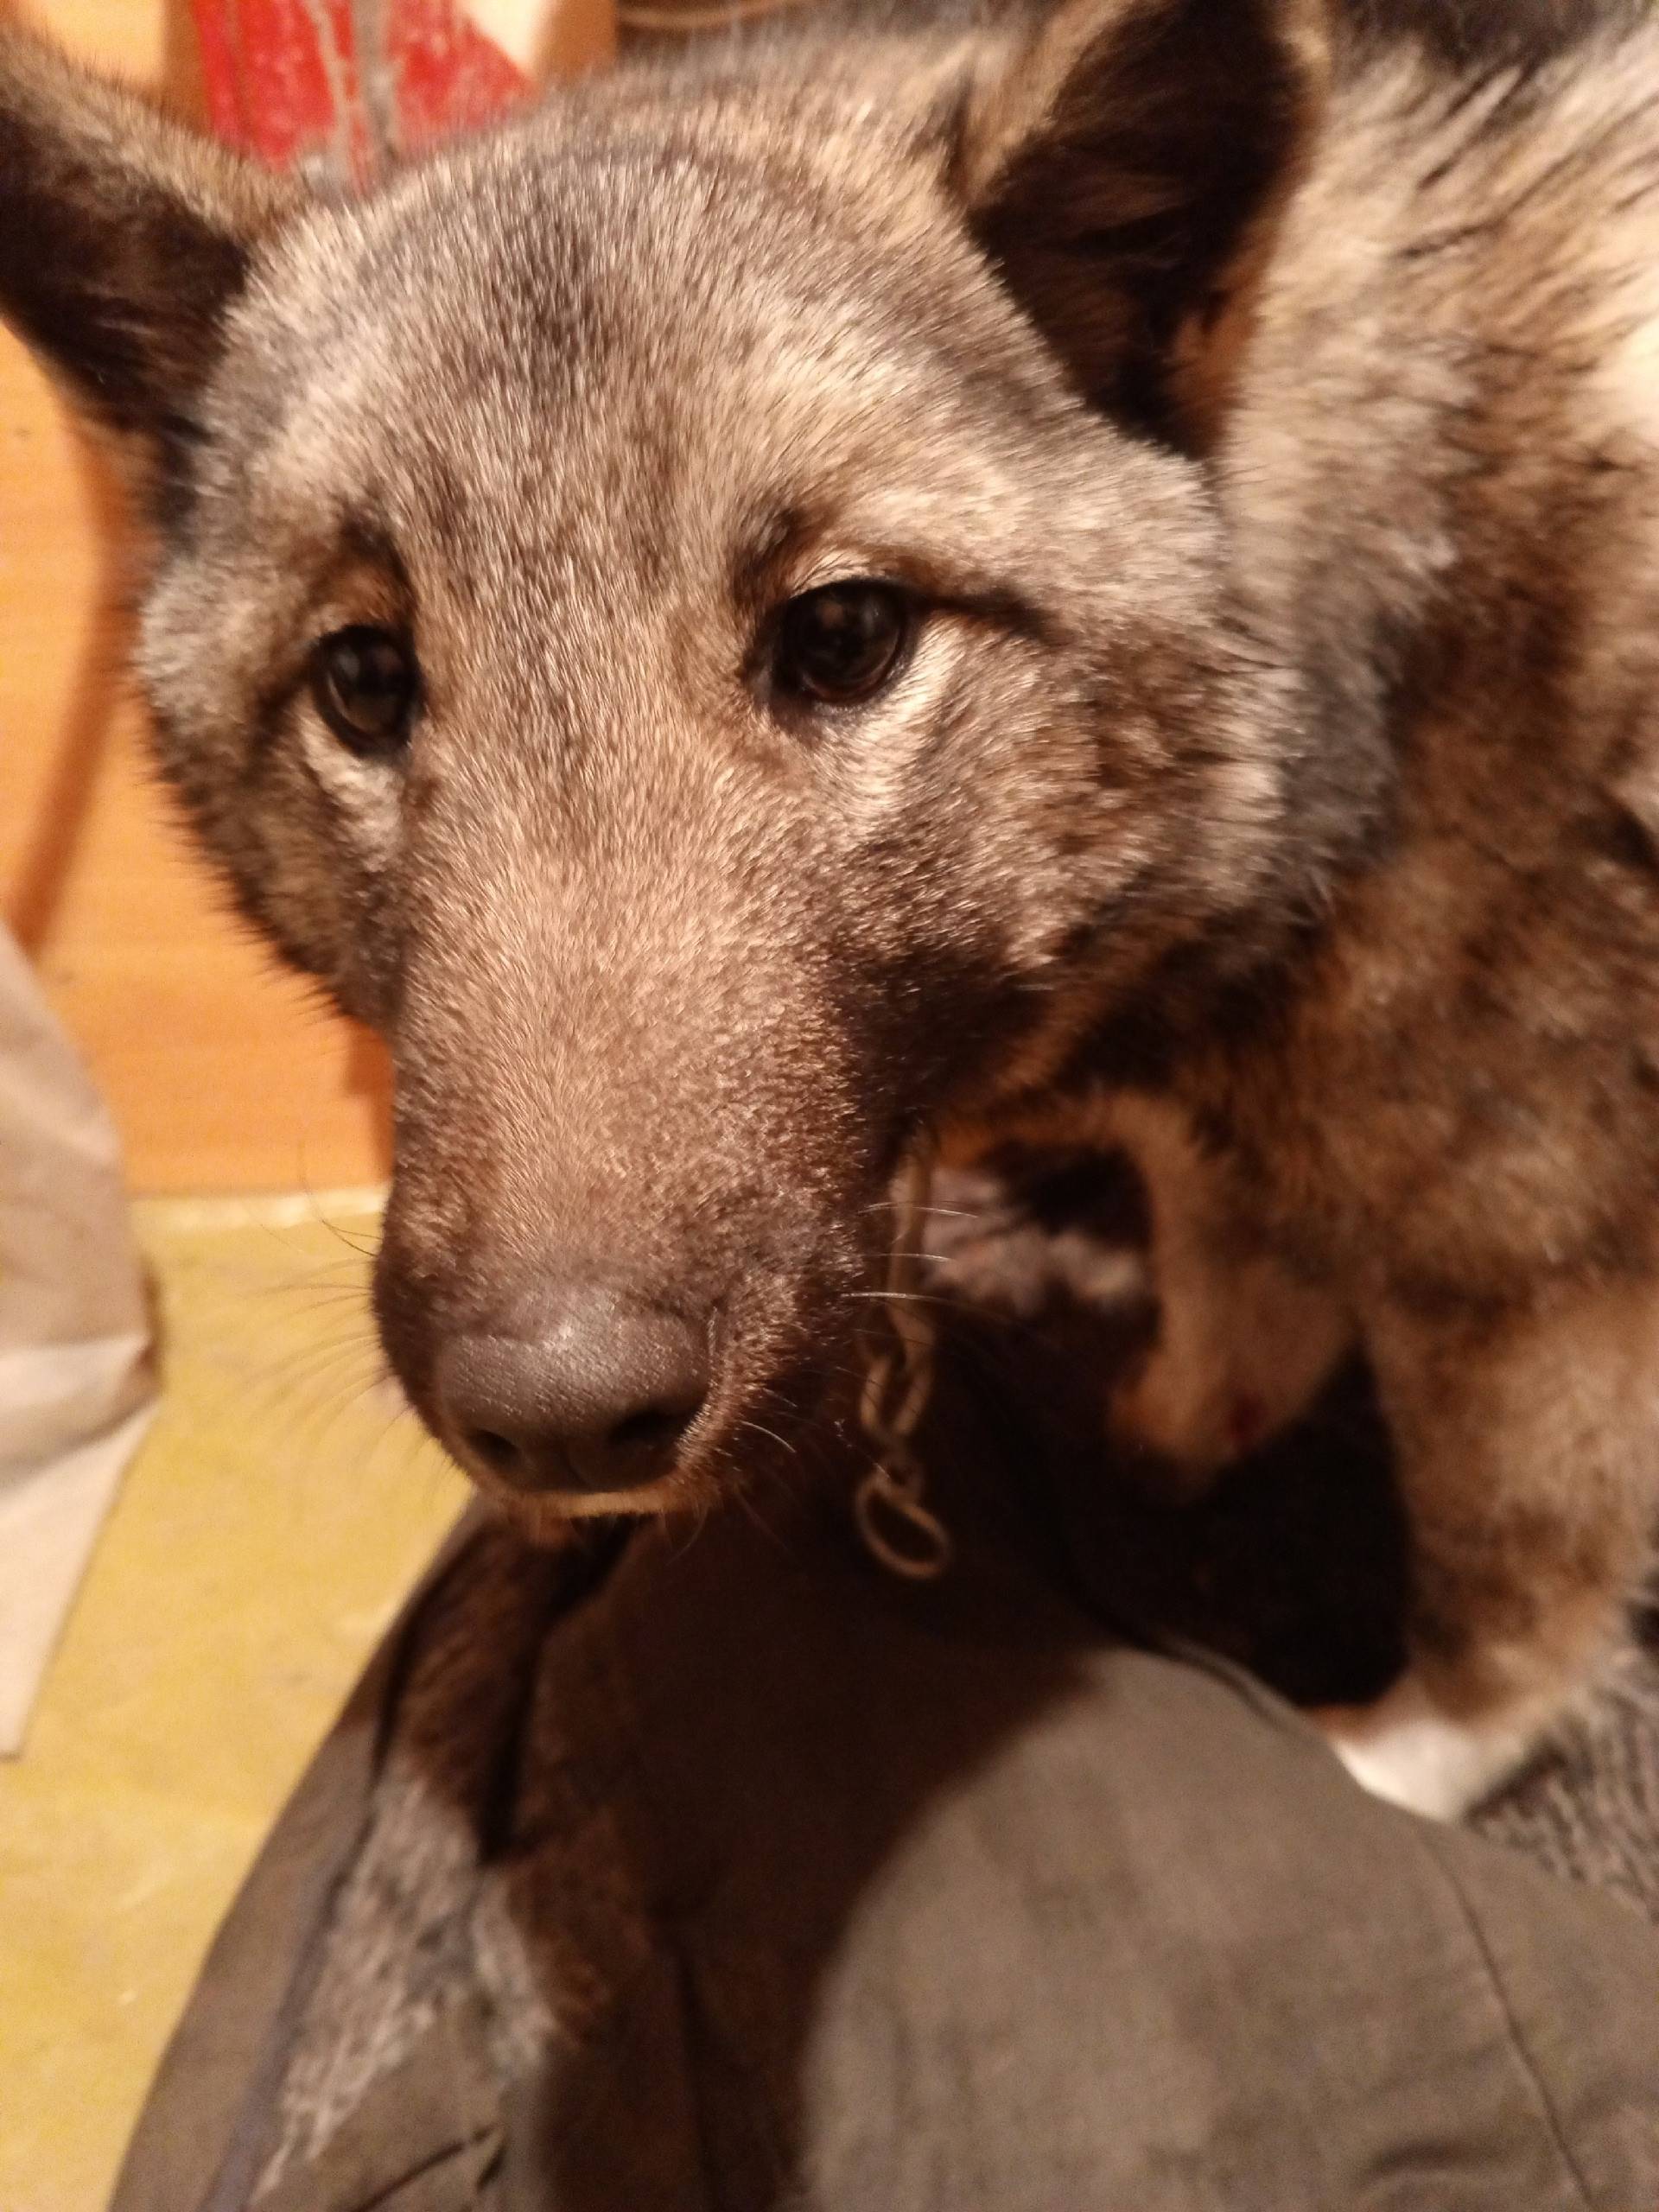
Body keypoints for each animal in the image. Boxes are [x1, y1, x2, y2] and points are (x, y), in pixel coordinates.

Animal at [4, 0, 1659, 1817]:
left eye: (847, 636)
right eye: (365, 680)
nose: (555, 1424)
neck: (1385, 652)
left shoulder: (1537, 1278)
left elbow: (1508, 1599)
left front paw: (1388, 1766)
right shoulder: (1253, 1129)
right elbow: (1235, 1286)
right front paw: (1171, 1427)